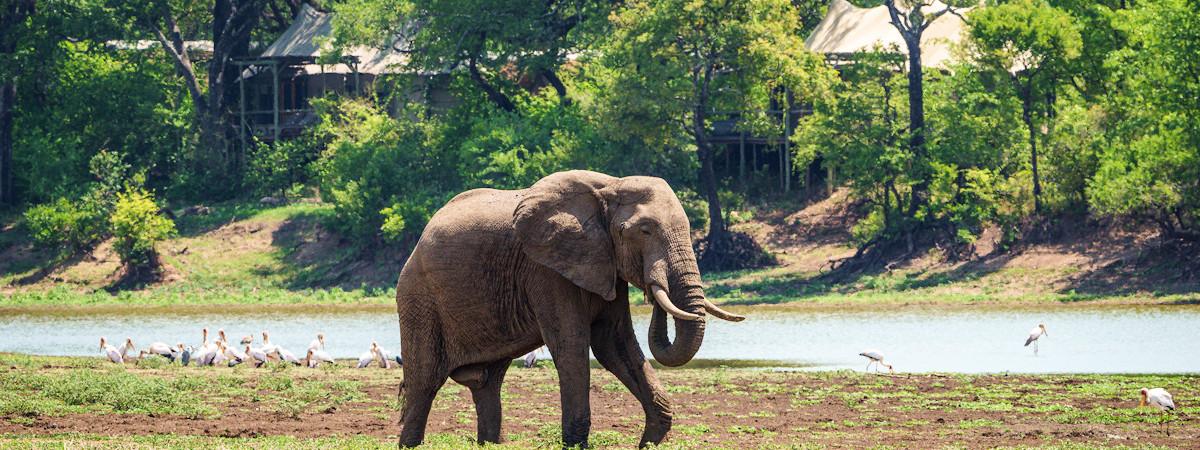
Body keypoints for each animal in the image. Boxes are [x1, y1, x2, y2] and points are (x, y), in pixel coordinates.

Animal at [393, 170, 739, 448]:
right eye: (644, 231)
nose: (653, 294)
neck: (611, 185)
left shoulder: (603, 264)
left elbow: (614, 344)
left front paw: (651, 439)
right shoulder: (546, 269)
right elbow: (572, 345)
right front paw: (577, 445)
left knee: (487, 382)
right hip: (418, 298)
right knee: (424, 383)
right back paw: (410, 442)